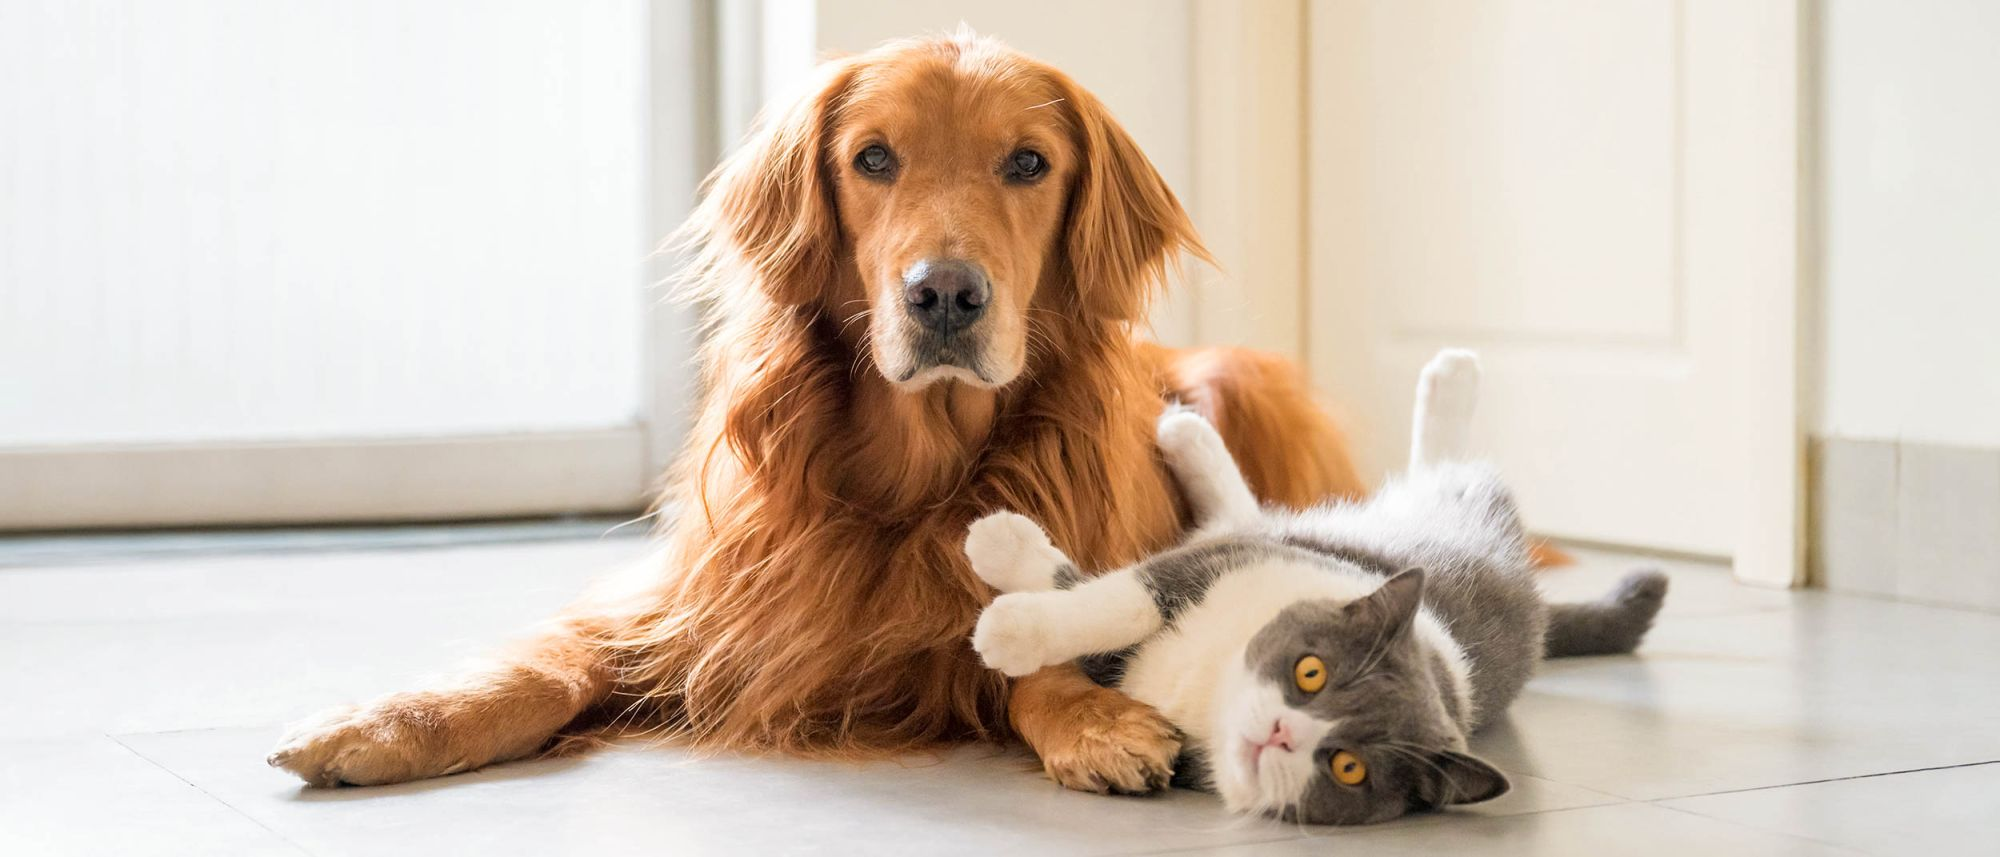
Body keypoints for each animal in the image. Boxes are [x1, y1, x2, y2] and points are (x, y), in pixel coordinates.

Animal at [270, 30, 1360, 792]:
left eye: (1027, 163)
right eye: (873, 159)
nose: (945, 295)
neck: (917, 472)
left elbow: (1034, 643)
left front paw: (1092, 718)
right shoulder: (692, 601)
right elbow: (548, 659)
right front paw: (391, 721)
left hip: (1241, 378)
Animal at [968, 348, 1672, 824]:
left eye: (1348, 768)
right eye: (1312, 672)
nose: (1282, 733)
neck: (1209, 683)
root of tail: (1532, 597)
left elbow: (1100, 596)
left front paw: (1007, 618)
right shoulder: (1225, 563)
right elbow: (1120, 597)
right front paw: (1004, 562)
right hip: (1414, 514)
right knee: (1427, 466)